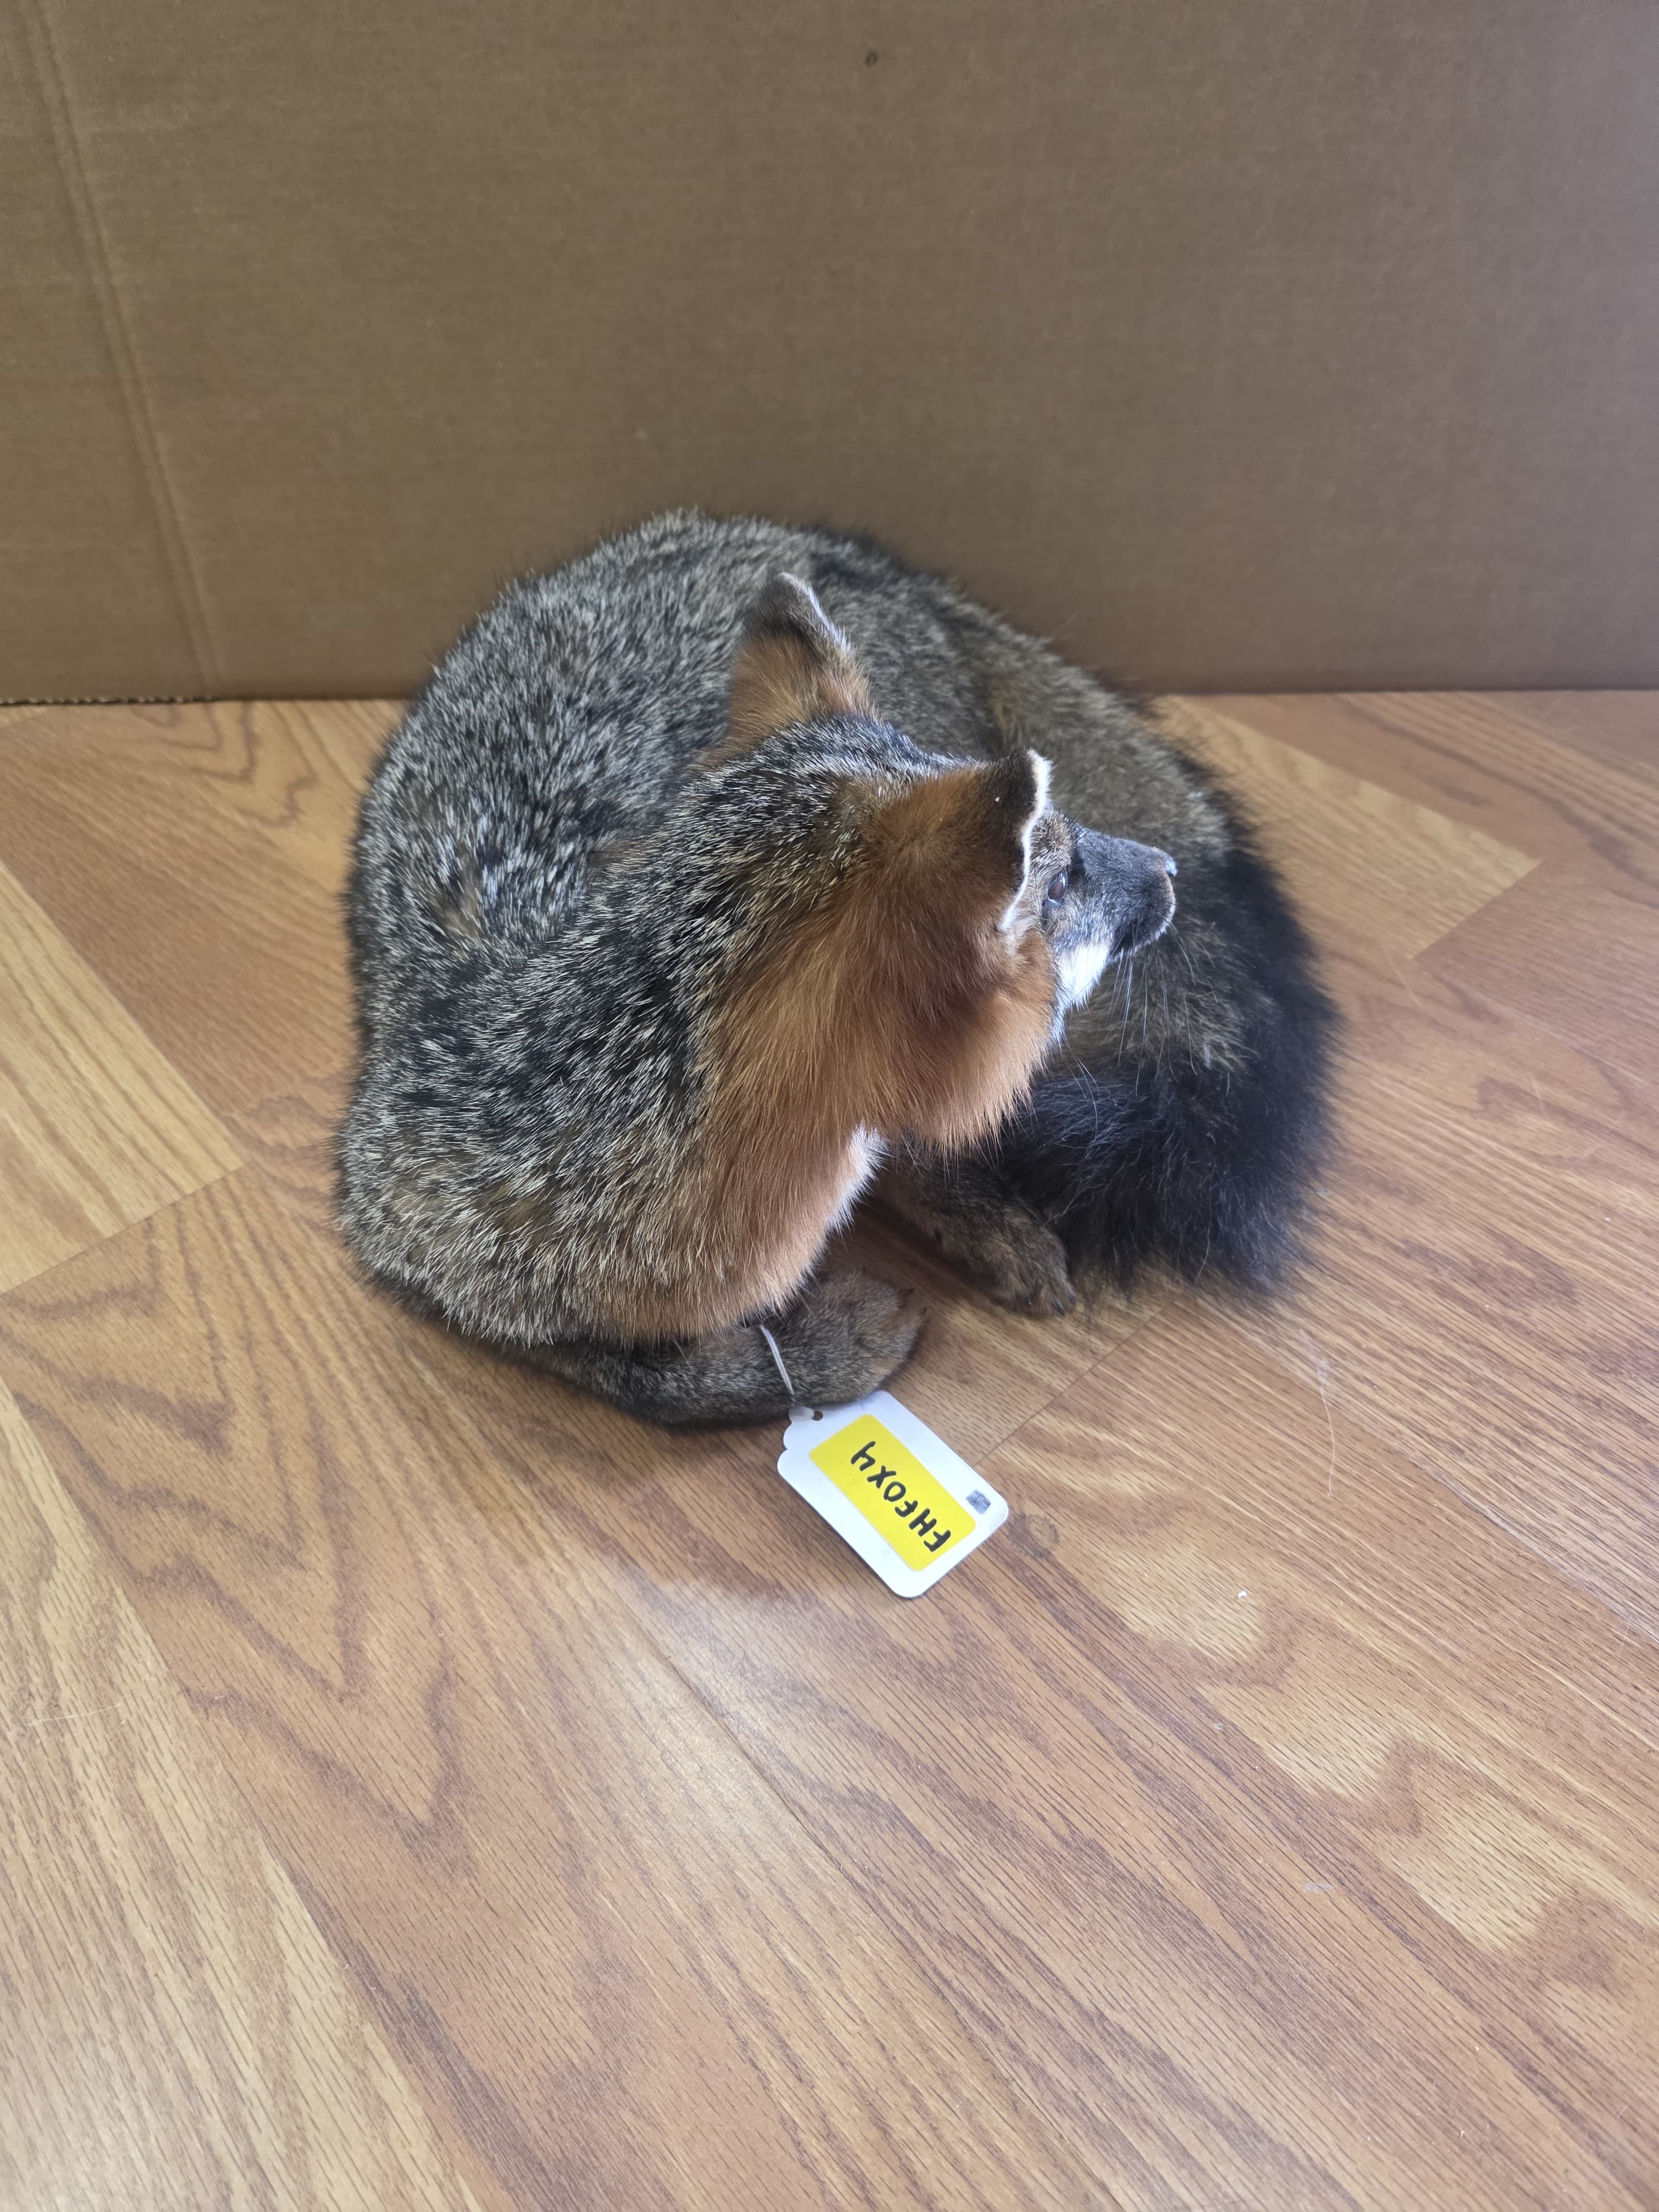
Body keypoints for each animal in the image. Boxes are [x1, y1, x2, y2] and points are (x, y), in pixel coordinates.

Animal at [340, 511, 1334, 1425]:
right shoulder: (402, 1237)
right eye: (1061, 876)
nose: (1166, 870)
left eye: (1073, 848)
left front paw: (975, 1216)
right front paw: (825, 1349)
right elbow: (660, 1384)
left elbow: (914, 1155)